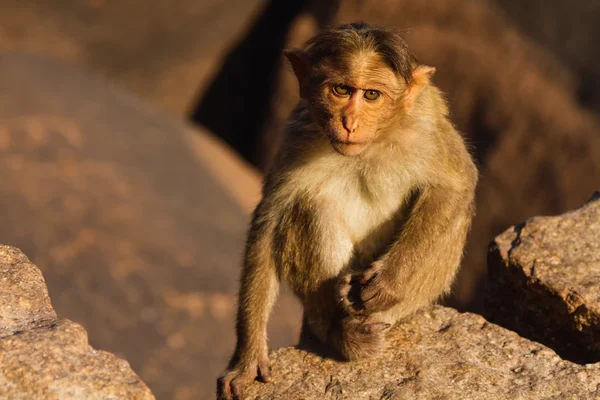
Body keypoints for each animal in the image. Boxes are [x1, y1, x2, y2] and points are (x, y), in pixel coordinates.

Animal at [217, 22, 478, 400]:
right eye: (341, 90)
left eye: (371, 95)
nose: (350, 122)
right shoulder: (297, 135)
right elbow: (269, 222)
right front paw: (247, 358)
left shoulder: (426, 127)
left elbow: (454, 186)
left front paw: (388, 282)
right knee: (310, 206)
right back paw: (337, 330)